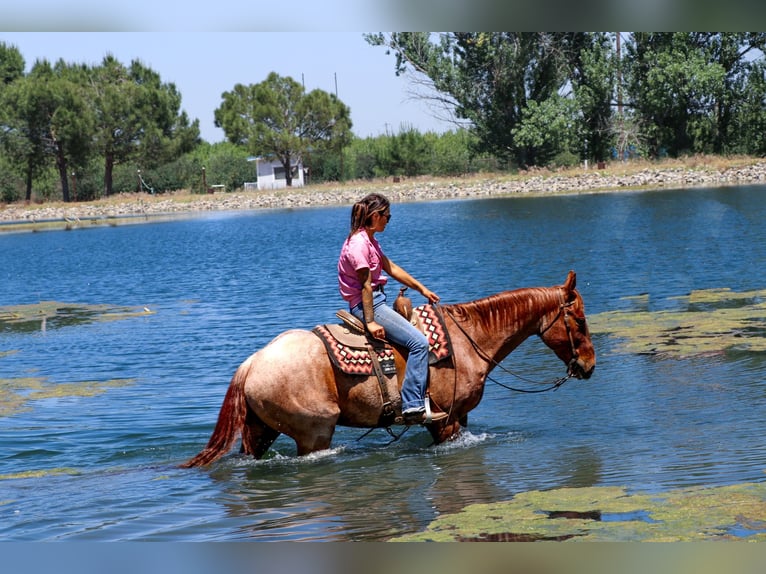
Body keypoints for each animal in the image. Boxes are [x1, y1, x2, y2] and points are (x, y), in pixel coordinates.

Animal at [183, 272, 596, 468]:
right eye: (578, 320)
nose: (589, 366)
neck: (469, 340)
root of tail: (253, 362)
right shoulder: (445, 420)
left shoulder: (459, 419)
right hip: (315, 432)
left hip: (261, 430)